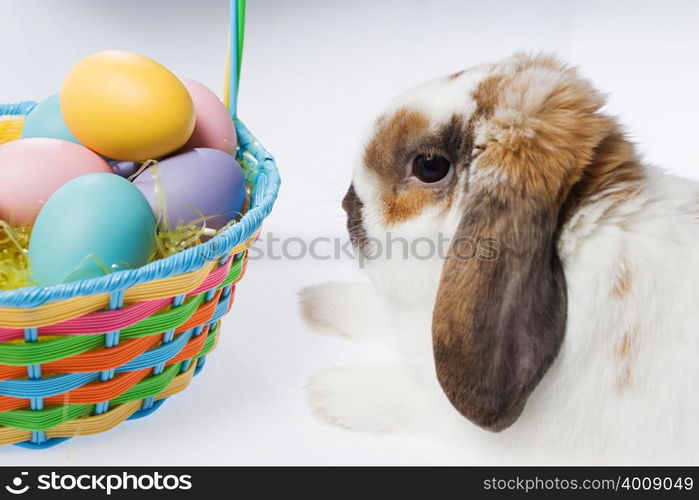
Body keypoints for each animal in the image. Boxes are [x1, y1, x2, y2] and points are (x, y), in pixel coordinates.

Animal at [300, 52, 699, 462]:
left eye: (429, 166)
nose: (347, 205)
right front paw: (314, 301)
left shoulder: (471, 428)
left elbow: (414, 399)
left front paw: (327, 392)